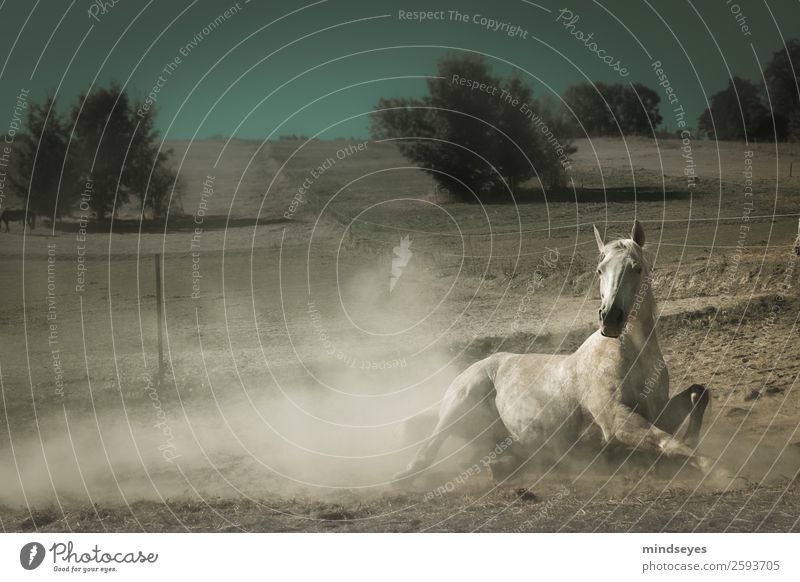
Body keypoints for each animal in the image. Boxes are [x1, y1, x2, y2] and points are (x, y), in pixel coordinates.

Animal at [396, 222, 712, 484]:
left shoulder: (657, 412)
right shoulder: (614, 418)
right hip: (460, 401)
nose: (610, 319)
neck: (630, 353)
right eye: (600, 270)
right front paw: (715, 470)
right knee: (427, 450)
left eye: (637, 268)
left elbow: (699, 394)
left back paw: (502, 465)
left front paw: (694, 439)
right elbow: (668, 442)